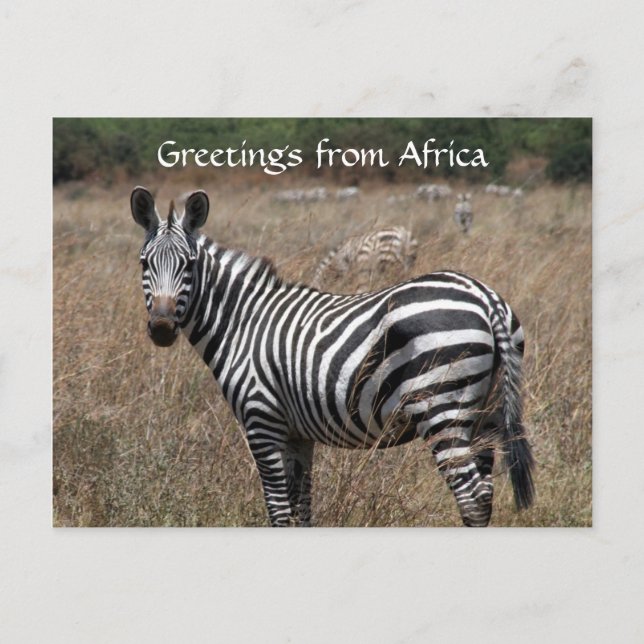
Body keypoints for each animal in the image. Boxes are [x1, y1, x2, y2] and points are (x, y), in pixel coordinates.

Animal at [131, 187, 535, 527]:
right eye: (144, 264)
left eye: (189, 264)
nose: (162, 328)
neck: (243, 322)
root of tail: (485, 297)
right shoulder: (297, 433)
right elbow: (302, 508)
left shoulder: (262, 420)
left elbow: (278, 510)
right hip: (485, 413)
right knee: (484, 494)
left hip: (442, 407)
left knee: (471, 497)